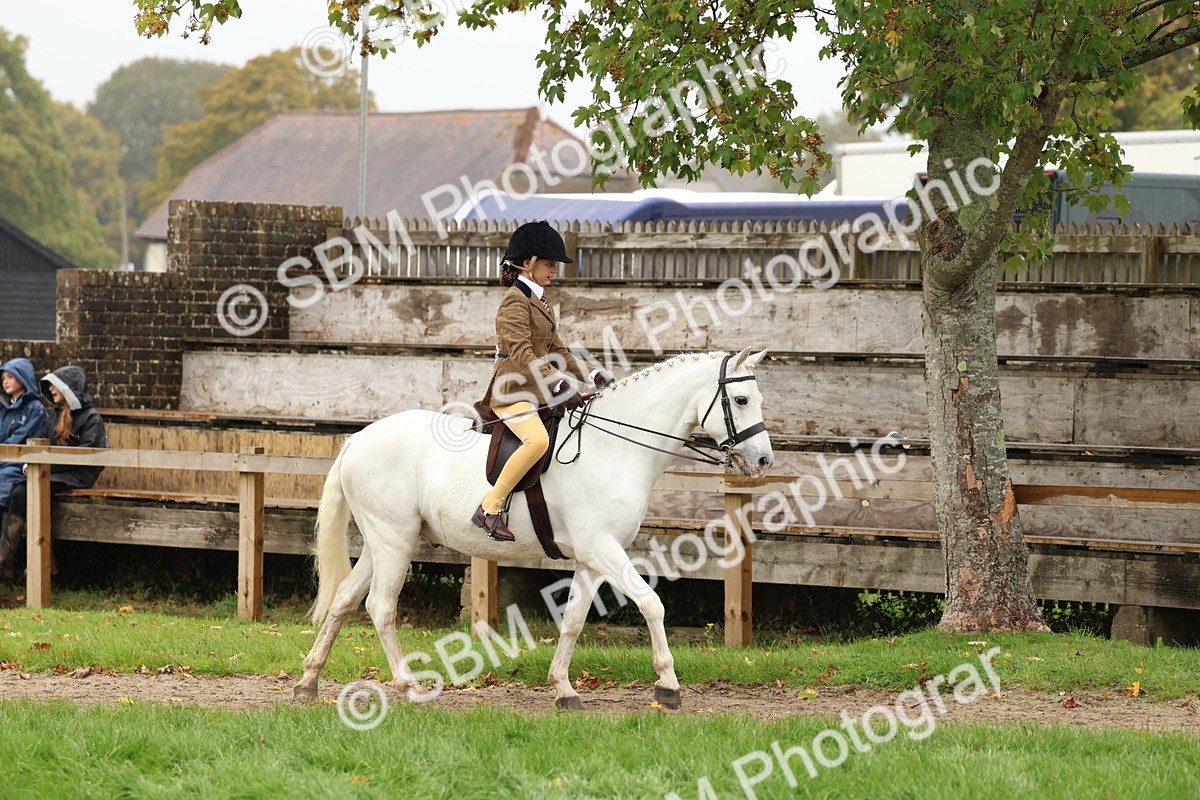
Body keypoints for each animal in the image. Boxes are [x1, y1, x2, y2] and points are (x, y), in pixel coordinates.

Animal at [293, 347, 774, 710]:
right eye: (742, 400)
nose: (765, 461)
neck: (613, 447)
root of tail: (359, 438)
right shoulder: (602, 548)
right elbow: (651, 603)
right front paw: (668, 686)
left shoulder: (592, 557)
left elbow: (574, 620)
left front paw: (563, 689)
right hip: (394, 540)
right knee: (381, 607)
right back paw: (409, 687)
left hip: (383, 542)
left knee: (344, 600)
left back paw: (307, 682)